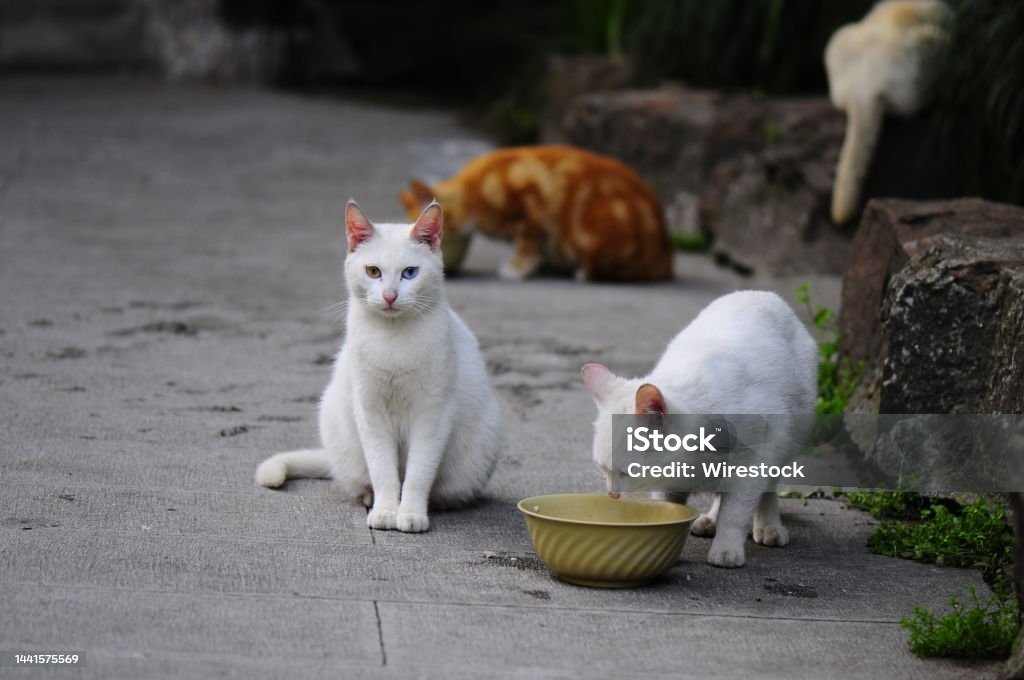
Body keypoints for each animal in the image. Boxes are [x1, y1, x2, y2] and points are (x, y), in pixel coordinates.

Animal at [256, 199, 503, 532]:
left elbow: (418, 473)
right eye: (373, 271)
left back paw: (436, 503)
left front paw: (410, 513)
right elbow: (383, 470)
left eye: (410, 273)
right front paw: (386, 511)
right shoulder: (370, 411)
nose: (389, 296)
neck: (393, 339)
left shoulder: (432, 415)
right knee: (364, 478)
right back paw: (369, 498)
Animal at [397, 143, 671, 280]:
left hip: (595, 223)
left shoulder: (529, 210)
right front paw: (537, 264)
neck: (477, 191)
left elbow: (526, 243)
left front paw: (517, 267)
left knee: (597, 269)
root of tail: (664, 258)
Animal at [585, 292, 815, 569]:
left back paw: (768, 525)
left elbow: (735, 511)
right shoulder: (669, 482)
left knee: (766, 490)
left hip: (788, 439)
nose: (612, 495)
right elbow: (670, 506)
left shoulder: (755, 460)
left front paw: (726, 547)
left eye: (628, 472)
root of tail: (764, 294)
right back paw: (710, 519)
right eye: (602, 468)